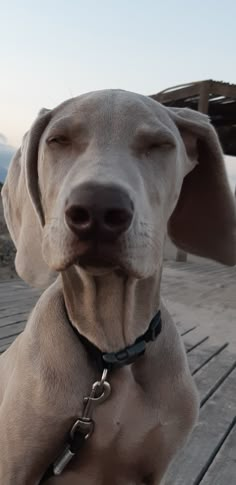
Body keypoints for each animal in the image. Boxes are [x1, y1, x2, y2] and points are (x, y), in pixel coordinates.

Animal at [0, 89, 235, 482]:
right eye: (58, 140)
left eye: (159, 144)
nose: (97, 209)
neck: (110, 351)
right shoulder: (16, 468)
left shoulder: (155, 469)